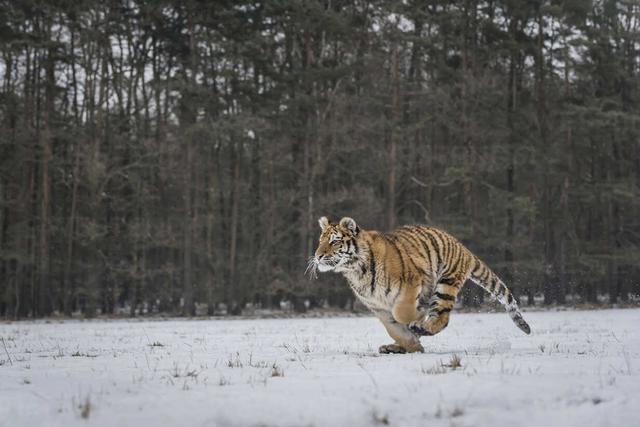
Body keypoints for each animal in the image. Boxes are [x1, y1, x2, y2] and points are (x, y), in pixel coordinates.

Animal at [308, 217, 532, 354]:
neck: (356, 271)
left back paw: (422, 326)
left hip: (446, 284)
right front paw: (412, 346)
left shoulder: (410, 284)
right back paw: (395, 346)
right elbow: (395, 329)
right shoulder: (378, 307)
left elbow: (402, 314)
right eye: (320, 241)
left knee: (442, 318)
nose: (317, 256)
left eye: (335, 241)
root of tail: (461, 245)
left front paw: (416, 321)